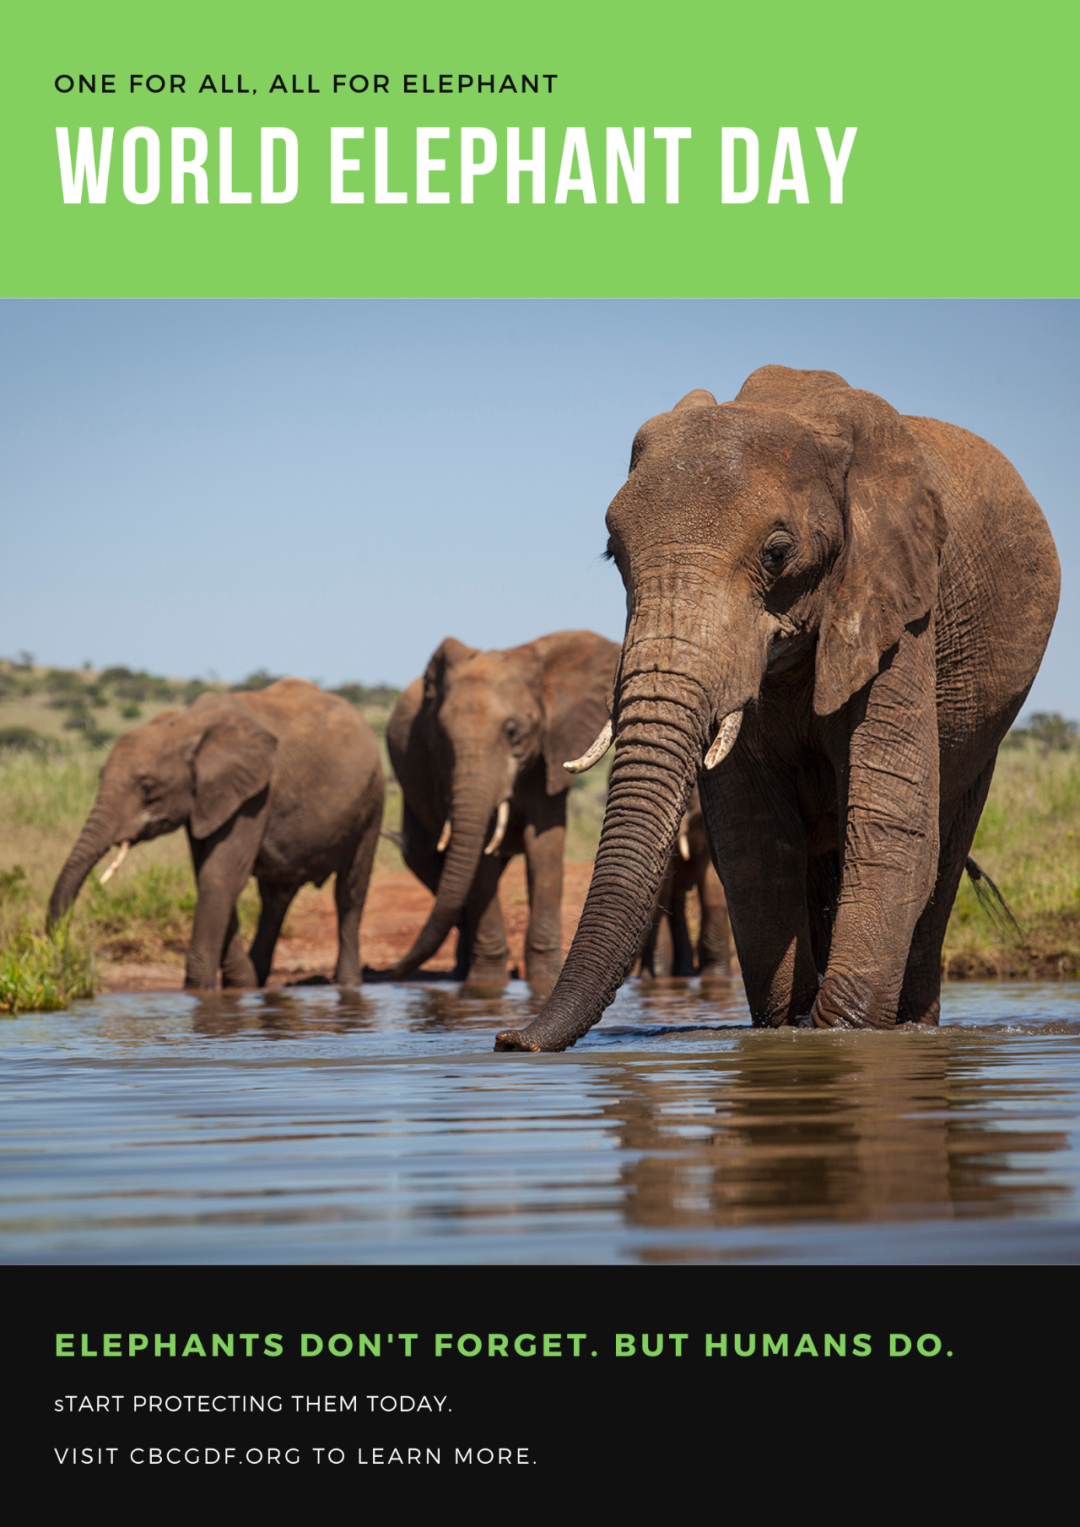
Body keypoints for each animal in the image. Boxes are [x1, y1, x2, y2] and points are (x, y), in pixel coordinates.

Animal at [52, 674, 388, 983]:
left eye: (148, 788)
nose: (62, 955)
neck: (187, 724)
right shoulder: (204, 801)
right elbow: (209, 874)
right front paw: (238, 985)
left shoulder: (254, 795)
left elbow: (220, 874)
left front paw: (201, 989)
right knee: (276, 897)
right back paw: (258, 980)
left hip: (372, 798)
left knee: (350, 889)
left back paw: (347, 984)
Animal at [375, 626, 620, 983]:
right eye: (441, 738)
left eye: (513, 732)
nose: (387, 970)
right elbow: (478, 861)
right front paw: (487, 984)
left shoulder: (548, 755)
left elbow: (544, 847)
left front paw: (544, 979)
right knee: (427, 861)